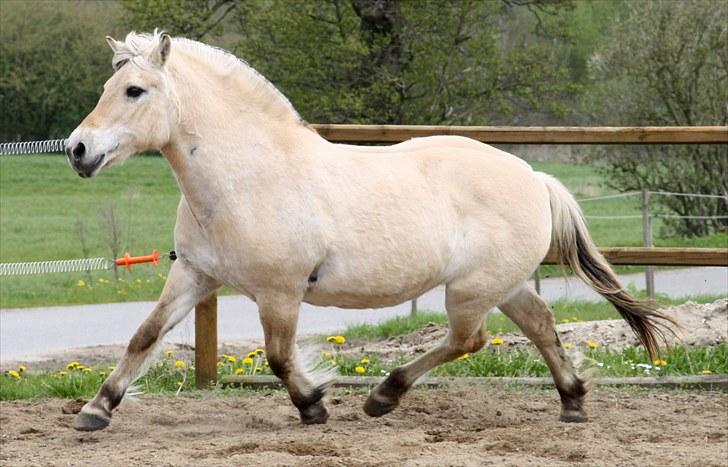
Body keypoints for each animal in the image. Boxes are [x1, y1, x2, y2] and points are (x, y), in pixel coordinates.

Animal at [65, 30, 672, 432]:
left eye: (135, 91)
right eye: (109, 85)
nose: (77, 150)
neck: (248, 176)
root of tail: (532, 176)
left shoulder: (281, 292)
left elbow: (279, 357)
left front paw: (314, 405)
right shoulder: (195, 275)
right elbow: (144, 336)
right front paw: (96, 409)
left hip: (470, 289)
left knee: (468, 339)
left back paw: (384, 395)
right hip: (504, 284)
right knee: (540, 325)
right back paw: (572, 402)